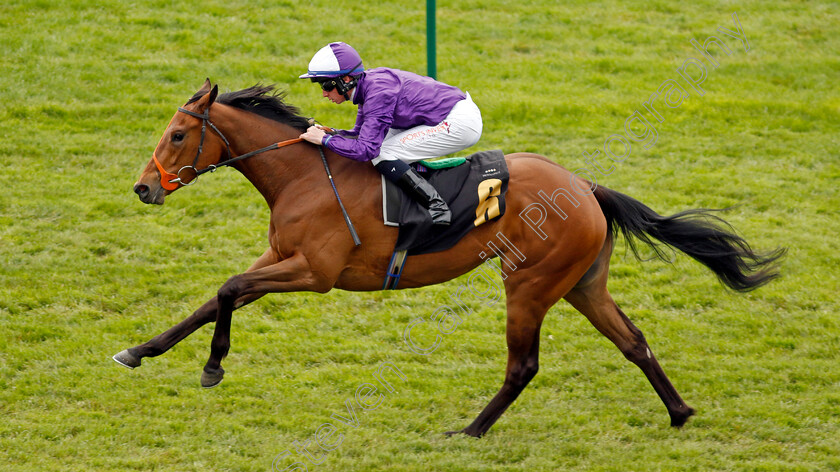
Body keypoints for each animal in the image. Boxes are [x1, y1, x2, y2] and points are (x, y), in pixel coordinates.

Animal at [115, 79, 784, 436]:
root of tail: (586, 187)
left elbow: (228, 289)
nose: (144, 188)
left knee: (524, 365)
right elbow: (213, 298)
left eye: (178, 135)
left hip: (529, 284)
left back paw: (471, 430)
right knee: (634, 340)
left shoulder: (315, 273)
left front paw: (212, 367)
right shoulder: (278, 257)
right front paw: (139, 351)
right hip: (582, 284)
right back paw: (679, 412)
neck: (303, 175)